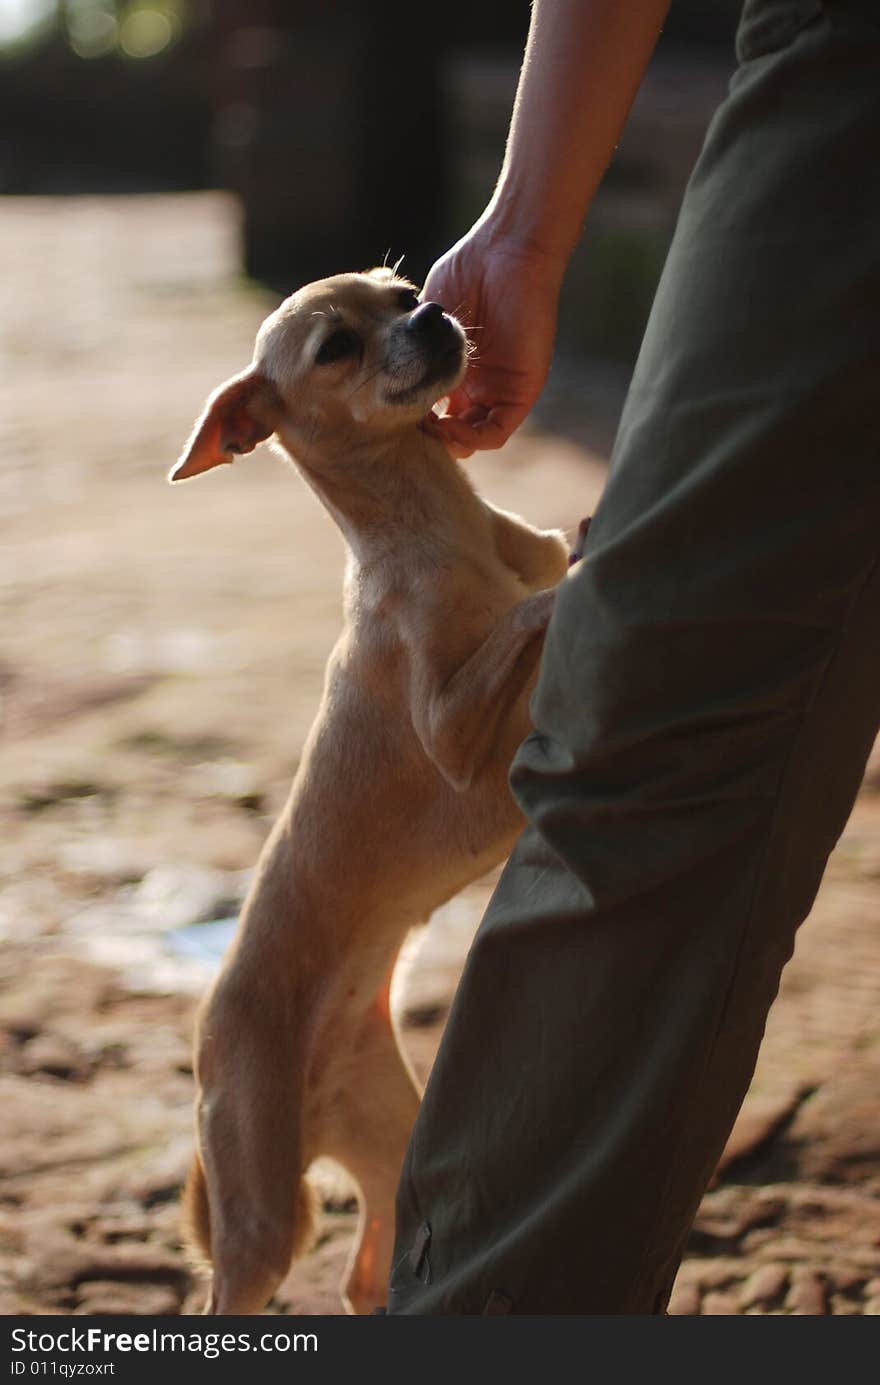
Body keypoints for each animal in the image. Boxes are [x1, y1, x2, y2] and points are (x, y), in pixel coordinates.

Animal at [171, 267, 570, 1307]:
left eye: (401, 291)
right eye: (336, 347)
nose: (433, 314)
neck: (437, 522)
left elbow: (545, 573)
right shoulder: (456, 735)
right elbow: (528, 618)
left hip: (390, 1149)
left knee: (365, 1273)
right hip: (262, 1222)